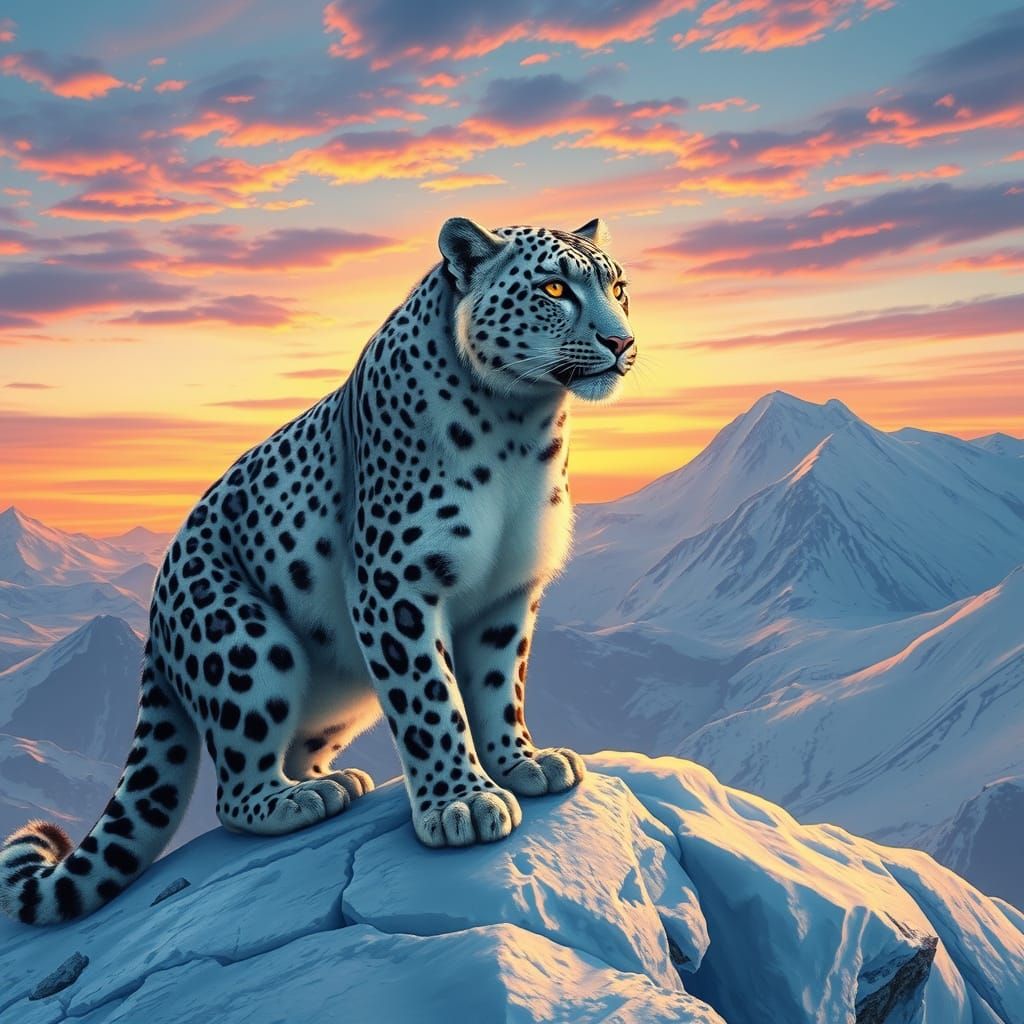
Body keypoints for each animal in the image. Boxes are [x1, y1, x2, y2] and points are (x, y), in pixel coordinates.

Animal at [0, 216, 635, 924]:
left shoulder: (510, 592)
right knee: (234, 787)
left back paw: (335, 780)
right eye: (554, 289)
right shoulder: (396, 582)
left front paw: (523, 763)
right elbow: (430, 697)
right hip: (245, 642)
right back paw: (295, 800)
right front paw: (461, 803)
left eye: (619, 287)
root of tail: (155, 625)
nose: (622, 342)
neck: (521, 426)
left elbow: (500, 685)